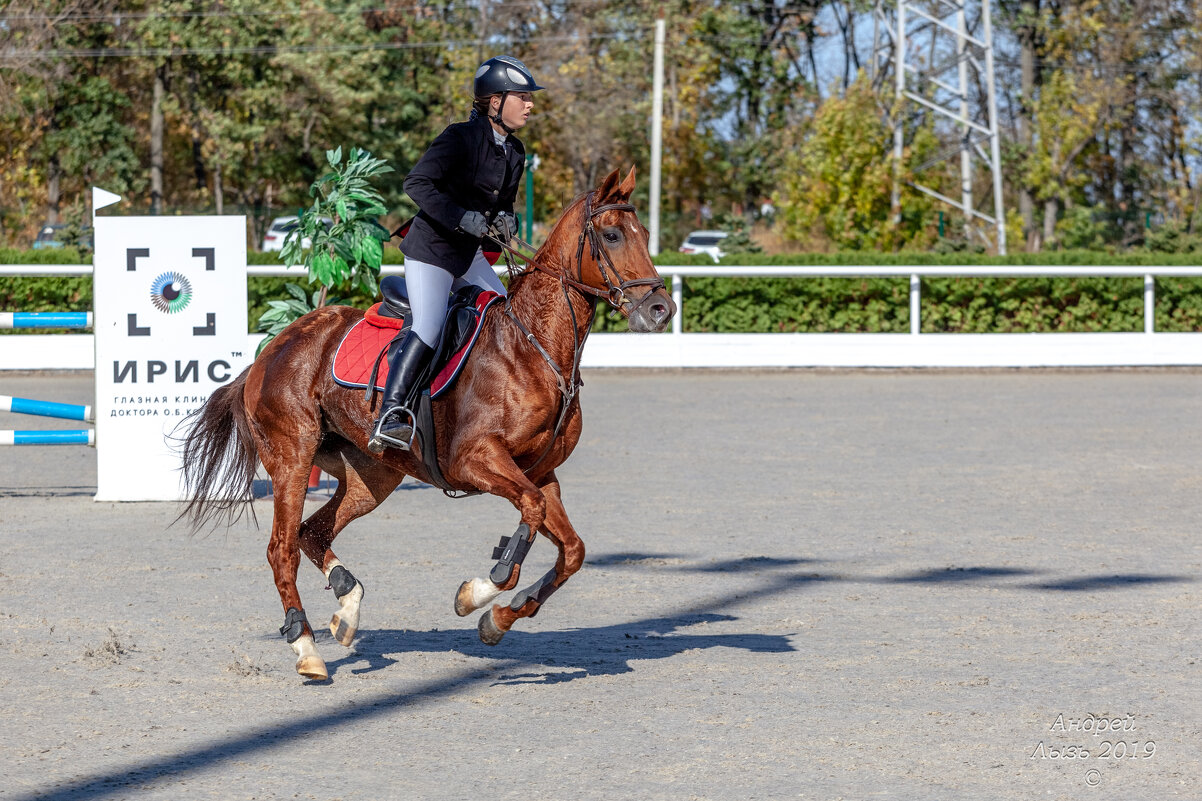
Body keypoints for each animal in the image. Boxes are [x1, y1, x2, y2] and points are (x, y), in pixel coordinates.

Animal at [176, 164, 673, 678]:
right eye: (612, 235)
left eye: (645, 234)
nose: (661, 310)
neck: (533, 347)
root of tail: (272, 346)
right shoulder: (475, 459)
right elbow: (530, 516)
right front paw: (482, 589)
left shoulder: (539, 472)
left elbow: (571, 548)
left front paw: (497, 619)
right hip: (293, 457)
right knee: (282, 547)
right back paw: (307, 646)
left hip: (372, 475)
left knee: (313, 532)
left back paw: (347, 608)